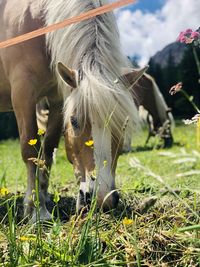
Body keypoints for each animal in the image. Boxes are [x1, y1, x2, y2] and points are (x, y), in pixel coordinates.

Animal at [0, 0, 145, 222]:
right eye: (75, 121)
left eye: (122, 125)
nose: (102, 199)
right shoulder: (23, 94)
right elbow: (30, 151)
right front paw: (34, 211)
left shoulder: (58, 99)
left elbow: (47, 152)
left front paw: (43, 202)